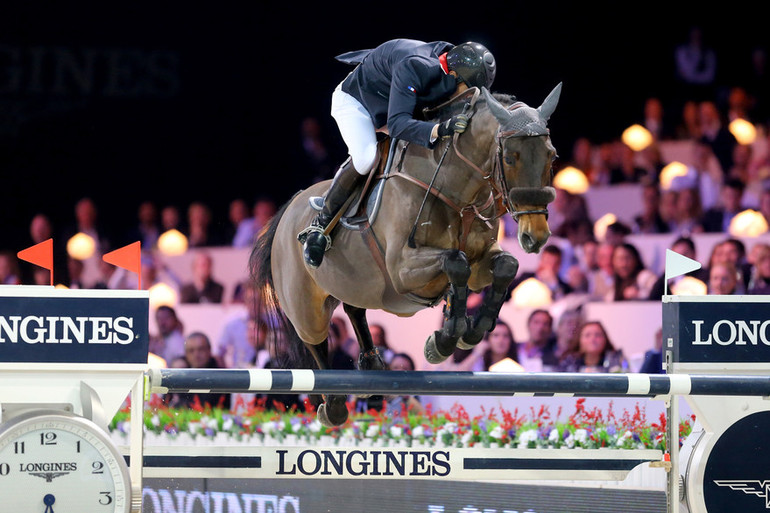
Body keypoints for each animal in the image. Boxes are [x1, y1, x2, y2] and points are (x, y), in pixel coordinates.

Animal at [250, 84, 560, 426]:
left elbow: (505, 264)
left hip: (354, 286)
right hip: (305, 303)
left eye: (552, 156)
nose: (536, 235)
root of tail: (287, 209)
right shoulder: (403, 270)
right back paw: (333, 404)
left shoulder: (481, 264)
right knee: (313, 340)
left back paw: (371, 367)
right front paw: (444, 340)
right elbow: (456, 262)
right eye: (509, 157)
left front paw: (470, 331)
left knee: (354, 309)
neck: (457, 190)